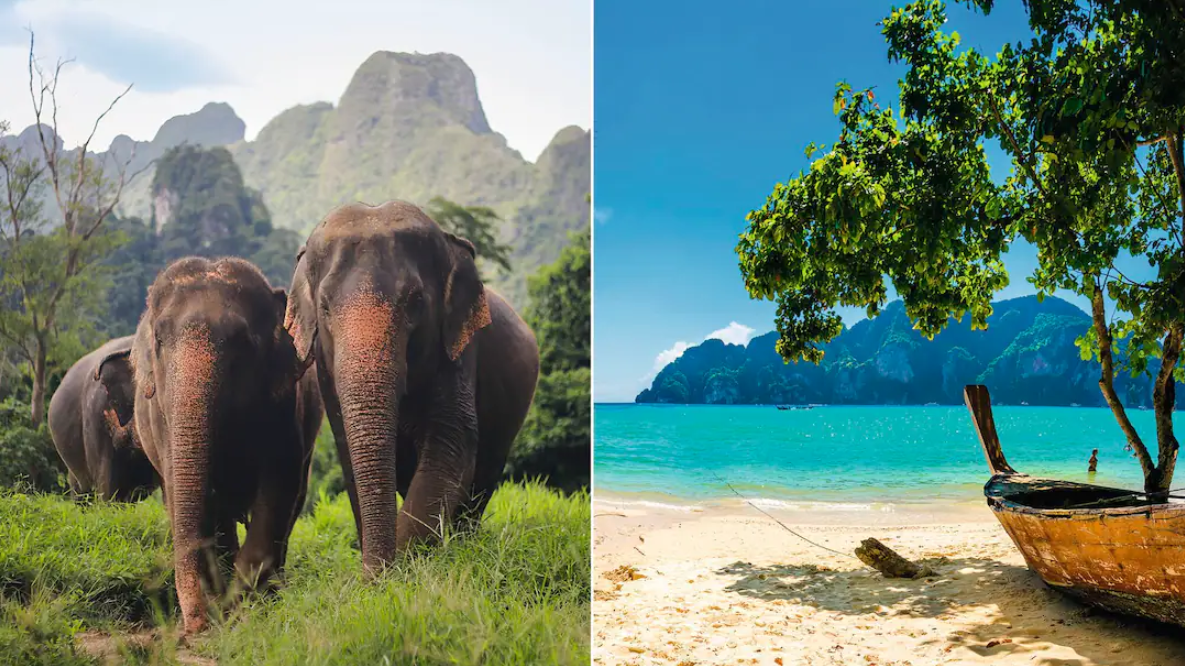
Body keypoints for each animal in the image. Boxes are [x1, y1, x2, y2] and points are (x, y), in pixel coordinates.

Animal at [109, 256, 323, 635]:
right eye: (159, 340)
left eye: (242, 342)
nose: (194, 626)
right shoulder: (162, 423)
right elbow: (186, 496)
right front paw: (225, 606)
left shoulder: (284, 408)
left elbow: (278, 487)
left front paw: (245, 605)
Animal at [284, 200, 540, 575]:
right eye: (325, 306)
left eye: (416, 300)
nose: (373, 578)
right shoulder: (325, 370)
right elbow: (349, 457)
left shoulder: (459, 349)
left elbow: (451, 443)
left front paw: (403, 568)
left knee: (483, 478)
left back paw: (461, 544)